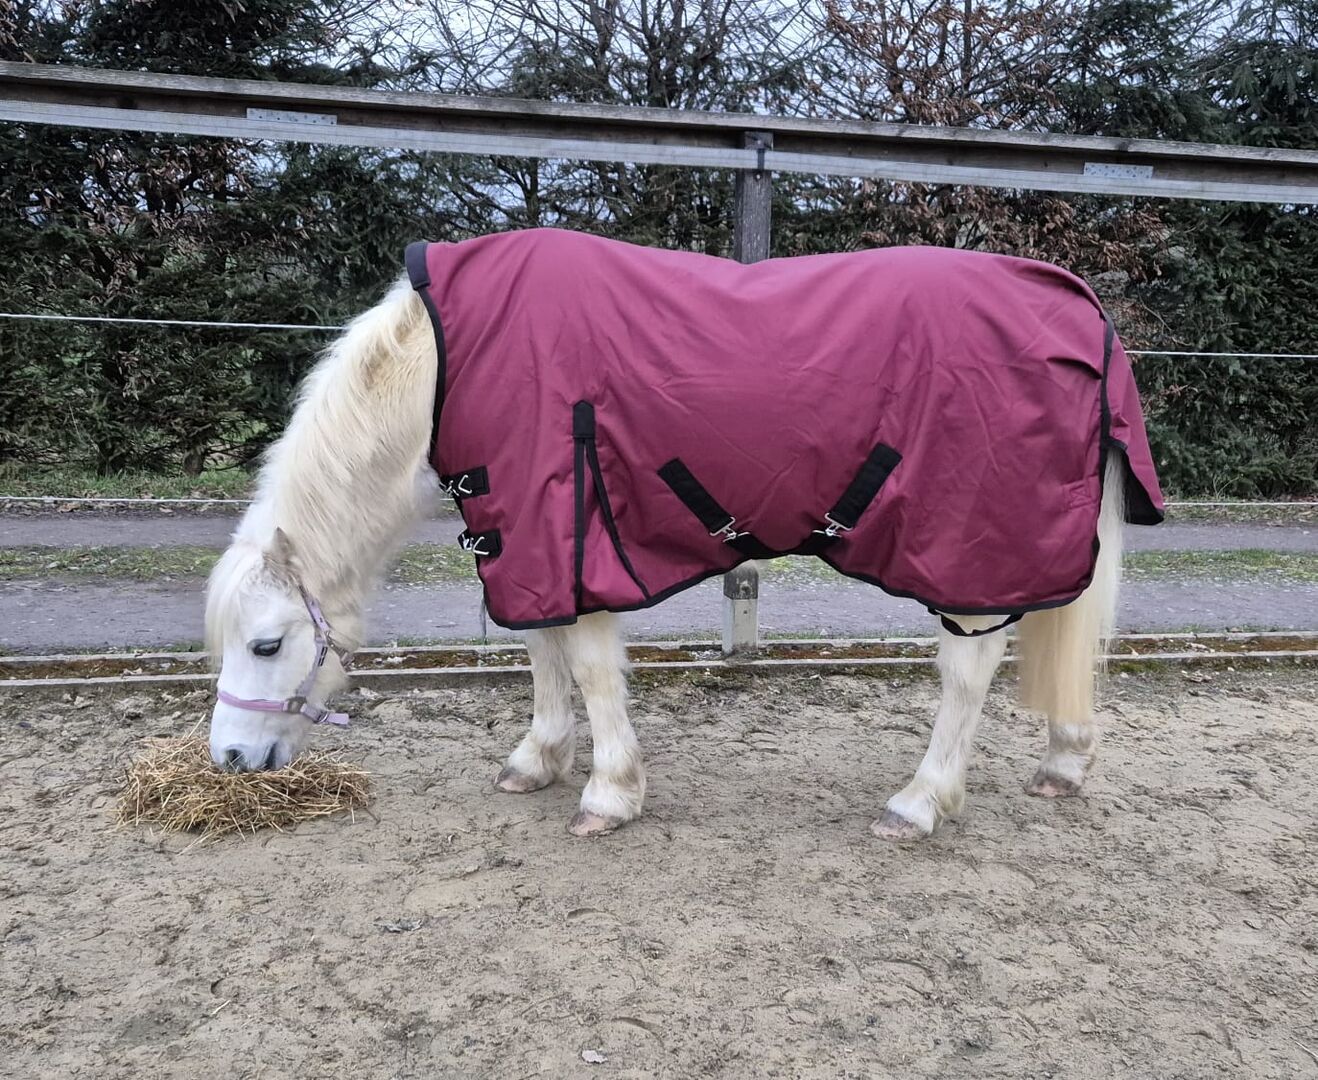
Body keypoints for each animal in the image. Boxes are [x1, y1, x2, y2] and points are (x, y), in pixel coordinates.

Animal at [205, 229, 1162, 841]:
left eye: (266, 643)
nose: (230, 759)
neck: (446, 361)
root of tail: (1082, 312)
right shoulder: (525, 537)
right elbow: (541, 650)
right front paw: (538, 759)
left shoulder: (573, 529)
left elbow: (589, 665)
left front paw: (608, 793)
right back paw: (1066, 762)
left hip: (971, 550)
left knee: (968, 669)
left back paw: (919, 803)